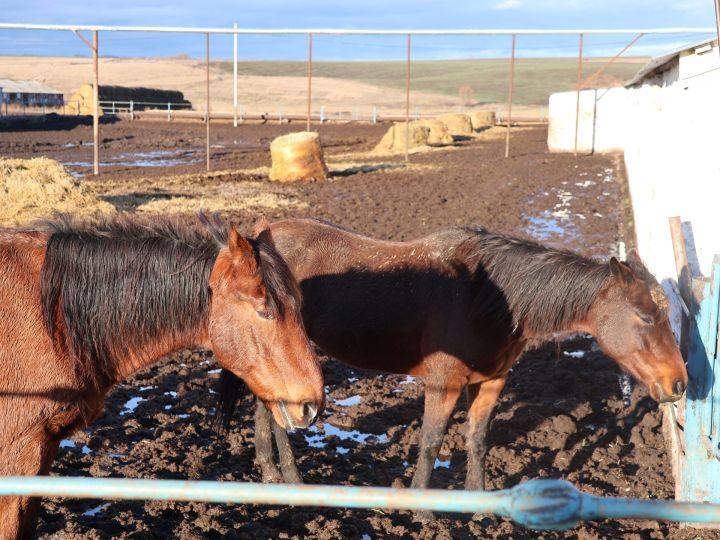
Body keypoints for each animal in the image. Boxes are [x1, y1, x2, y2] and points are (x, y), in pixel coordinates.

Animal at [218, 219, 688, 502]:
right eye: (645, 316)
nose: (679, 383)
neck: (486, 298)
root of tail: (262, 234)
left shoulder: (492, 381)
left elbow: (477, 440)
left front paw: (478, 502)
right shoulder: (442, 384)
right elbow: (430, 444)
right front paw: (423, 509)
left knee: (267, 409)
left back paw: (272, 473)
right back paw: (291, 479)